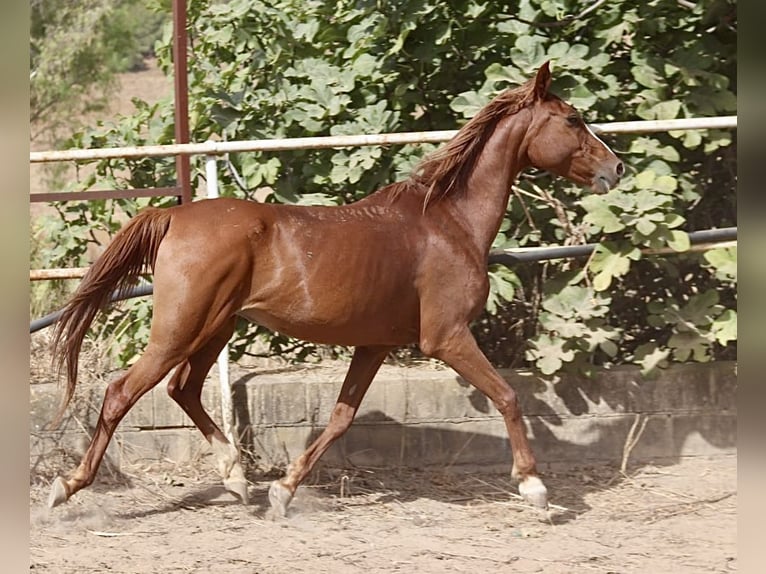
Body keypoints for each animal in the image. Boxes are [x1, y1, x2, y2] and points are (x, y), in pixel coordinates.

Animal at [48, 62, 624, 512]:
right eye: (572, 119)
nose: (616, 169)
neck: (448, 222)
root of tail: (174, 217)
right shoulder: (447, 337)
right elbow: (507, 395)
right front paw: (534, 488)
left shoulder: (374, 345)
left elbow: (342, 417)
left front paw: (284, 491)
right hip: (181, 327)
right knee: (124, 391)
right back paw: (67, 487)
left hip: (215, 327)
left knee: (181, 389)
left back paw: (236, 478)